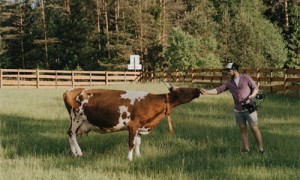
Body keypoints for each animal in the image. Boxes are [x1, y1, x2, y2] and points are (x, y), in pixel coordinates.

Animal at [63, 82, 199, 161]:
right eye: (183, 90)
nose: (198, 90)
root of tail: (72, 90)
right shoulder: (133, 126)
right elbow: (131, 143)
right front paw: (129, 158)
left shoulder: (140, 127)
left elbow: (138, 143)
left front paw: (138, 156)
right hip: (76, 118)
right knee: (71, 134)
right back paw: (79, 153)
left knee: (70, 135)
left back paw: (73, 154)